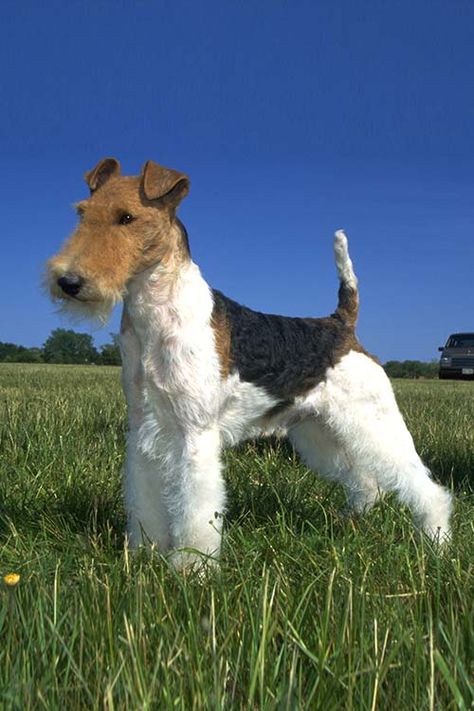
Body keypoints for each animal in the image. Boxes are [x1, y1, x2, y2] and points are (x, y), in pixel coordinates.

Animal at [47, 159, 452, 572]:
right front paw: (145, 552)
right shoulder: (145, 428)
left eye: (126, 217)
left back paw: (437, 543)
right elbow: (145, 498)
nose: (68, 281)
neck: (157, 315)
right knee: (366, 483)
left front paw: (192, 568)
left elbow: (195, 510)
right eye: (82, 213)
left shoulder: (195, 433)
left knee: (425, 487)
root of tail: (342, 323)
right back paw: (350, 523)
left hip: (374, 423)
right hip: (320, 430)